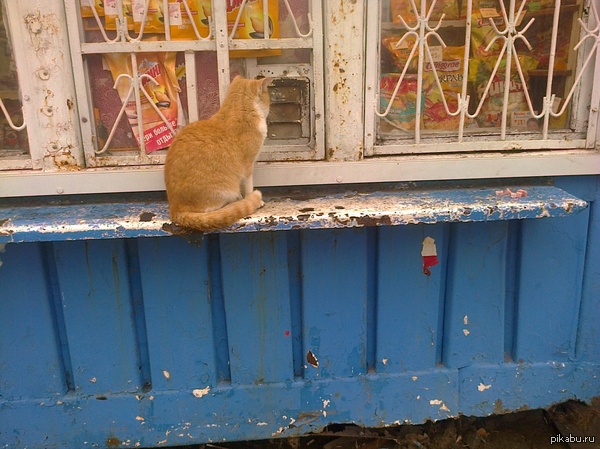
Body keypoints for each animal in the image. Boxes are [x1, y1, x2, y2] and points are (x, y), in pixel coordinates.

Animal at [164, 75, 271, 231]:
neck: (238, 110)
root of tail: (175, 209)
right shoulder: (248, 167)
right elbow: (249, 187)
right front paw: (253, 199)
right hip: (224, 191)